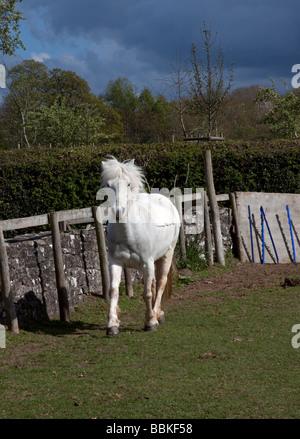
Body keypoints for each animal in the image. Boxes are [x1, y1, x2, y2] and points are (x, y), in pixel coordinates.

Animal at [101, 156, 180, 336]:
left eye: (128, 184)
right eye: (108, 184)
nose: (118, 211)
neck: (128, 234)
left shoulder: (146, 263)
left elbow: (147, 293)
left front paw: (150, 322)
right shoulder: (115, 263)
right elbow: (113, 291)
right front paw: (112, 325)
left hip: (167, 253)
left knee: (161, 282)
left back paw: (157, 315)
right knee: (154, 283)